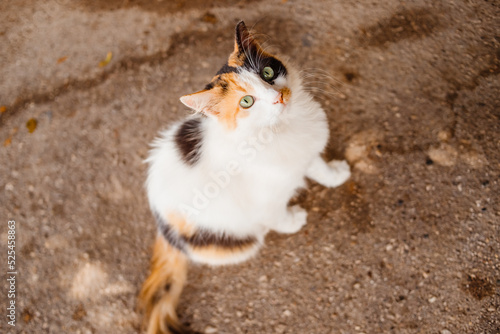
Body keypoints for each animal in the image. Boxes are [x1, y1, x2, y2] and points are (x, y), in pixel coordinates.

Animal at [139, 21, 352, 334]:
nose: (279, 97)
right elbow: (276, 216)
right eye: (247, 101)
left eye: (268, 73)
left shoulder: (305, 154)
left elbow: (317, 167)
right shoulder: (264, 197)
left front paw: (336, 175)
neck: (280, 129)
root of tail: (164, 231)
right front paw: (293, 220)